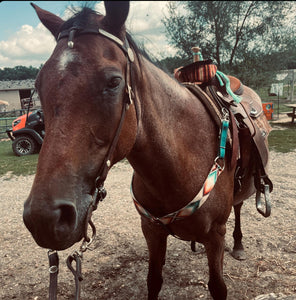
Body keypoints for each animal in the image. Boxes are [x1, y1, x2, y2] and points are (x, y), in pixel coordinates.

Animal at [23, 1, 270, 298]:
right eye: (39, 86)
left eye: (114, 82)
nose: (44, 219)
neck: (177, 164)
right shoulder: (151, 231)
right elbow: (153, 280)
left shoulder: (215, 235)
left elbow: (218, 287)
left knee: (239, 207)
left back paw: (239, 245)